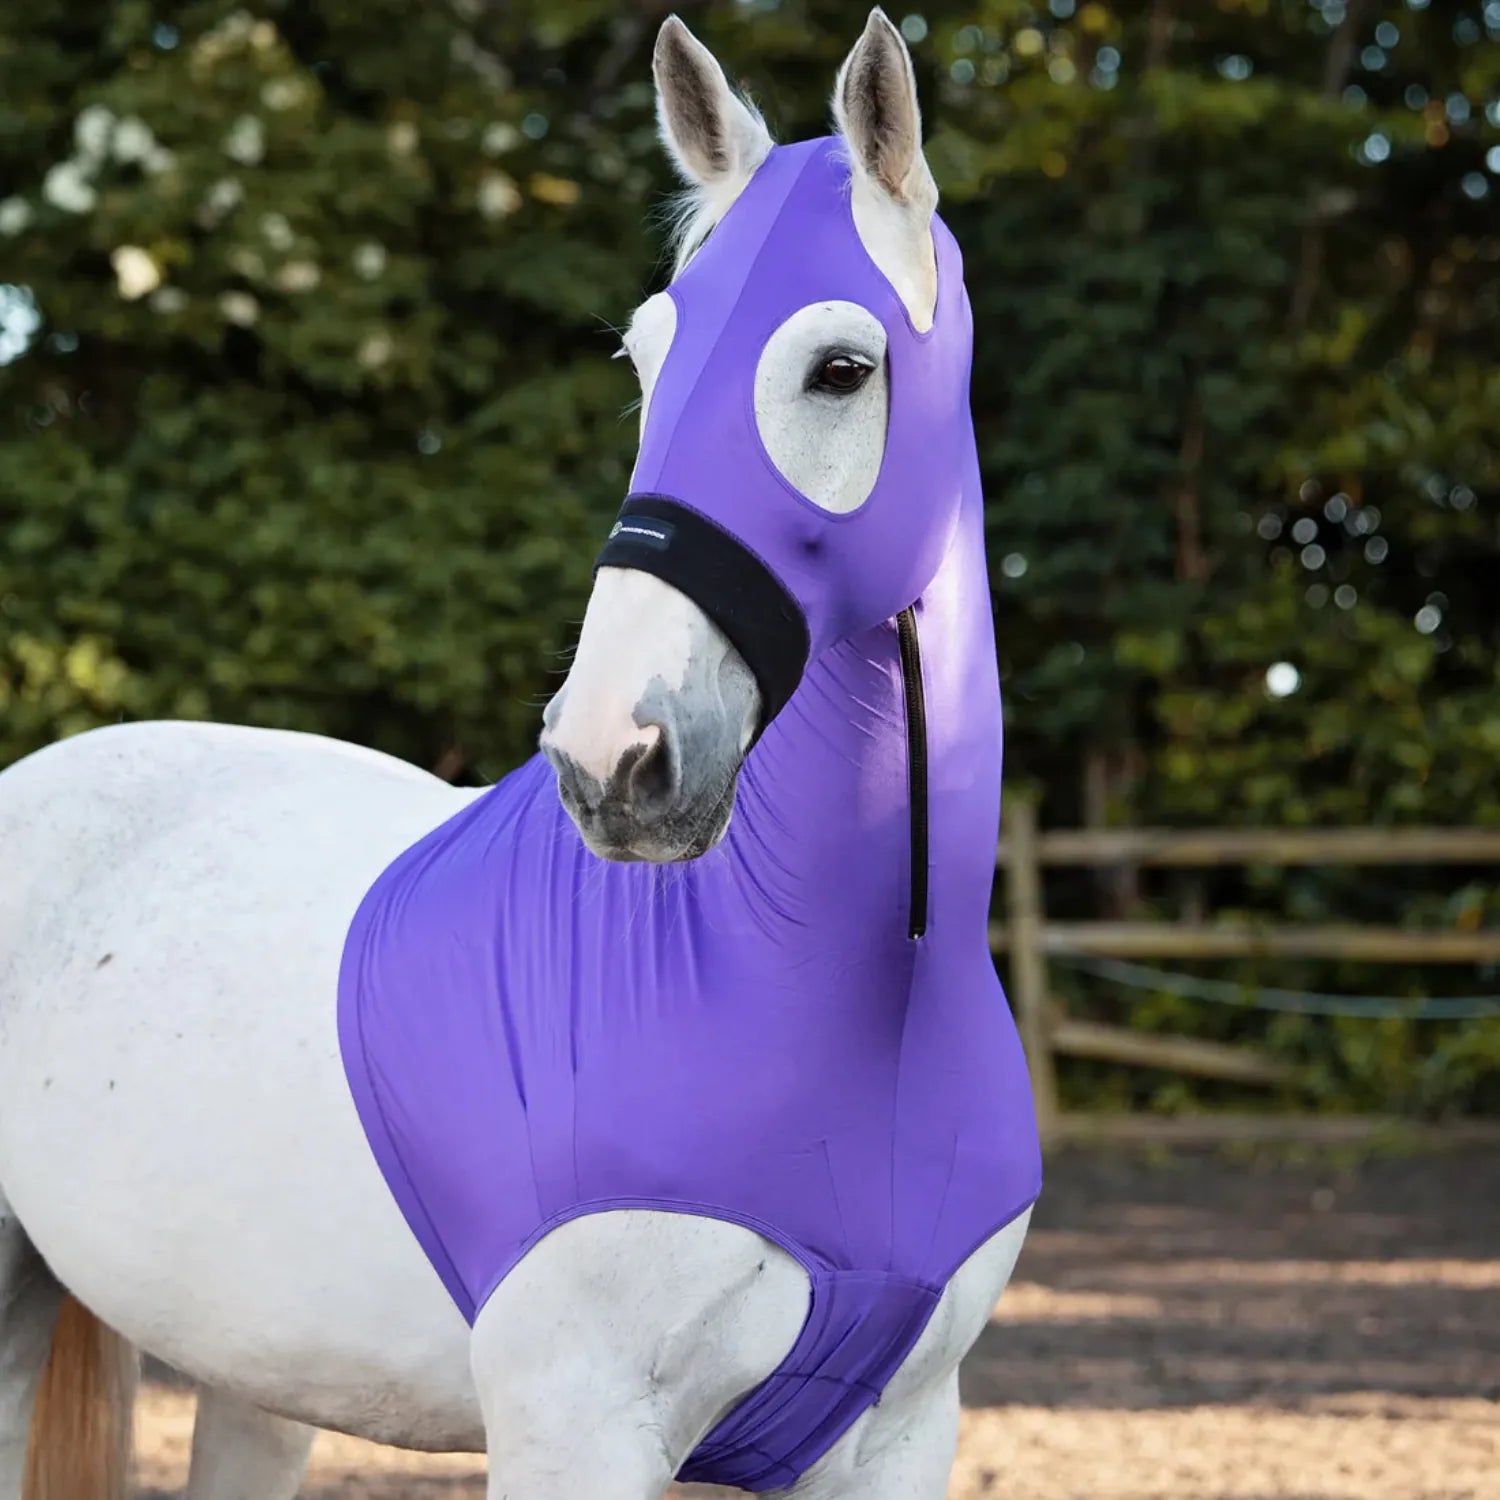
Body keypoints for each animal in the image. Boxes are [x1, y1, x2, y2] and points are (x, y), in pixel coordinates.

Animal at [0, 12, 1038, 1500]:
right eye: (648, 362)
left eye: (841, 367)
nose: (615, 755)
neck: (858, 1004)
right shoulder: (574, 1427)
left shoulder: (898, 1435)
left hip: (255, 1373)